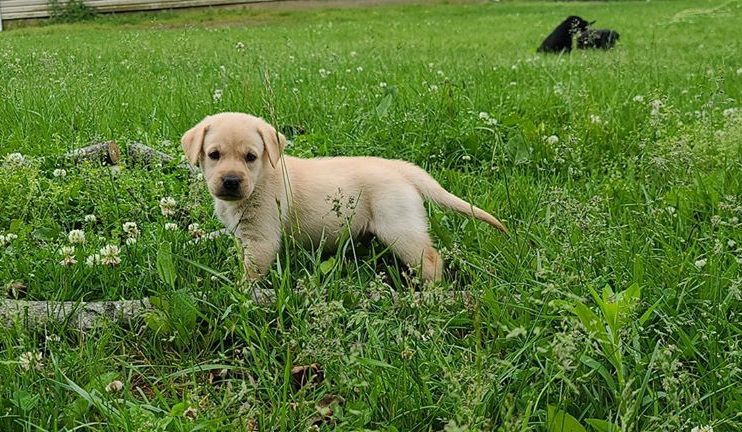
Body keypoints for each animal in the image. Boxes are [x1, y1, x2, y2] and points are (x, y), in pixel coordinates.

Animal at [182, 111, 506, 282]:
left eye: (250, 157)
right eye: (214, 154)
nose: (231, 181)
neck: (261, 177)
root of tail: (399, 167)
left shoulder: (261, 239)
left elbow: (250, 273)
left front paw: (241, 294)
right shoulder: (243, 234)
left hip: (401, 229)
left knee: (431, 259)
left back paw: (434, 296)